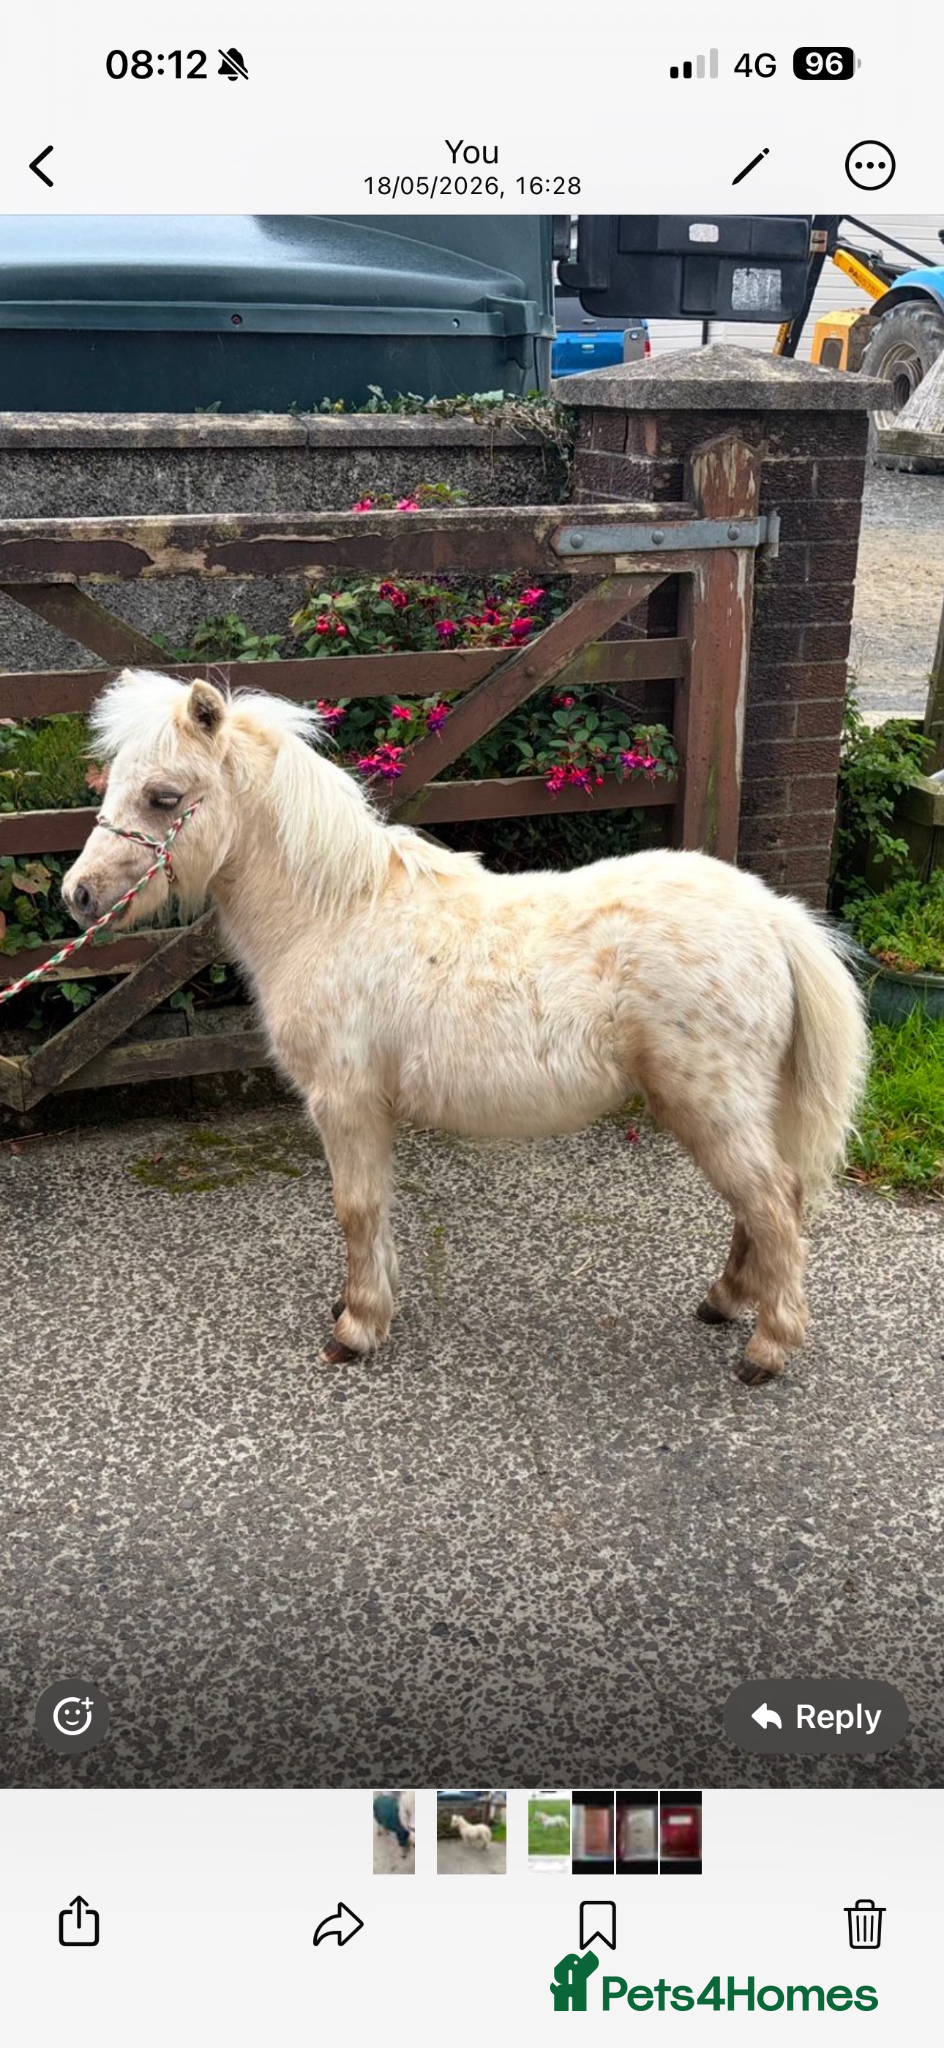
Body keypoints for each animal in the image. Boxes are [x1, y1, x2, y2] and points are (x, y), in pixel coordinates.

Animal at [62, 668, 869, 1387]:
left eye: (165, 797)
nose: (79, 895)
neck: (337, 913)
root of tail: (773, 916)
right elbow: (375, 1210)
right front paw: (363, 1306)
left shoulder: (344, 1101)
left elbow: (355, 1209)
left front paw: (356, 1329)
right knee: (766, 1204)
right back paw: (724, 1302)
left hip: (711, 1106)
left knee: (773, 1204)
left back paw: (767, 1347)